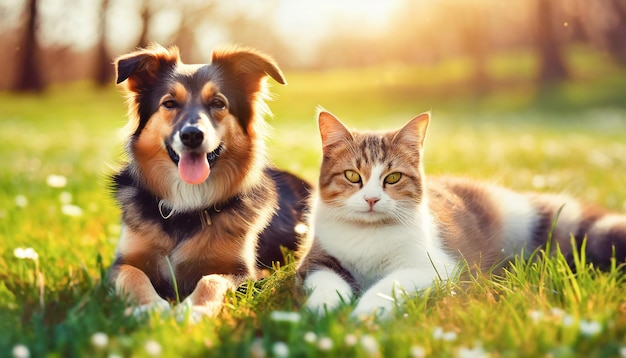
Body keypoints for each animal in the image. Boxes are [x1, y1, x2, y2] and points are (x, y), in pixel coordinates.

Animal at [110, 44, 312, 316]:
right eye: (169, 103)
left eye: (218, 103)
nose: (192, 135)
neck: (188, 204)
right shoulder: (121, 263)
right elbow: (132, 275)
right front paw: (150, 307)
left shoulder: (245, 274)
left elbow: (211, 280)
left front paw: (194, 311)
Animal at [296, 110, 624, 318]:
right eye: (352, 176)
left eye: (393, 178)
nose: (372, 199)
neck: (369, 234)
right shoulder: (315, 260)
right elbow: (326, 281)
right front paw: (321, 309)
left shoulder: (434, 268)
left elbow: (390, 284)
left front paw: (366, 311)